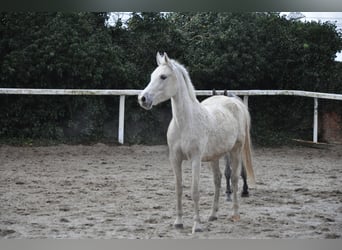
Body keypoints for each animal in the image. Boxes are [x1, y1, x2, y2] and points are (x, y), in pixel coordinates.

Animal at [138, 52, 255, 234]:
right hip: (215, 157)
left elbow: (194, 191)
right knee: (218, 180)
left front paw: (197, 225)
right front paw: (178, 222)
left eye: (163, 76)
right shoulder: (175, 159)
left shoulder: (195, 159)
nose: (143, 99)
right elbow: (179, 189)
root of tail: (236, 103)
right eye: (152, 76)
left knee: (235, 179)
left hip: (235, 151)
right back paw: (213, 215)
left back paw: (235, 214)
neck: (185, 122)